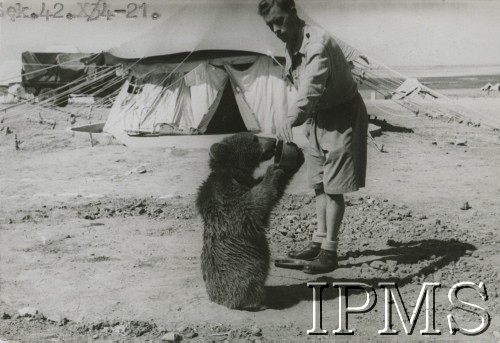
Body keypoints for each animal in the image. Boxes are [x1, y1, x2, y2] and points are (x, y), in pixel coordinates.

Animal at [196, 133, 304, 310]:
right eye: (254, 138)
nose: (274, 141)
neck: (235, 174)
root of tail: (218, 300)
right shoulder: (227, 198)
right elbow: (255, 206)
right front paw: (272, 170)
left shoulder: (246, 183)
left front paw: (295, 160)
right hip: (244, 272)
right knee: (250, 282)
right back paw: (256, 302)